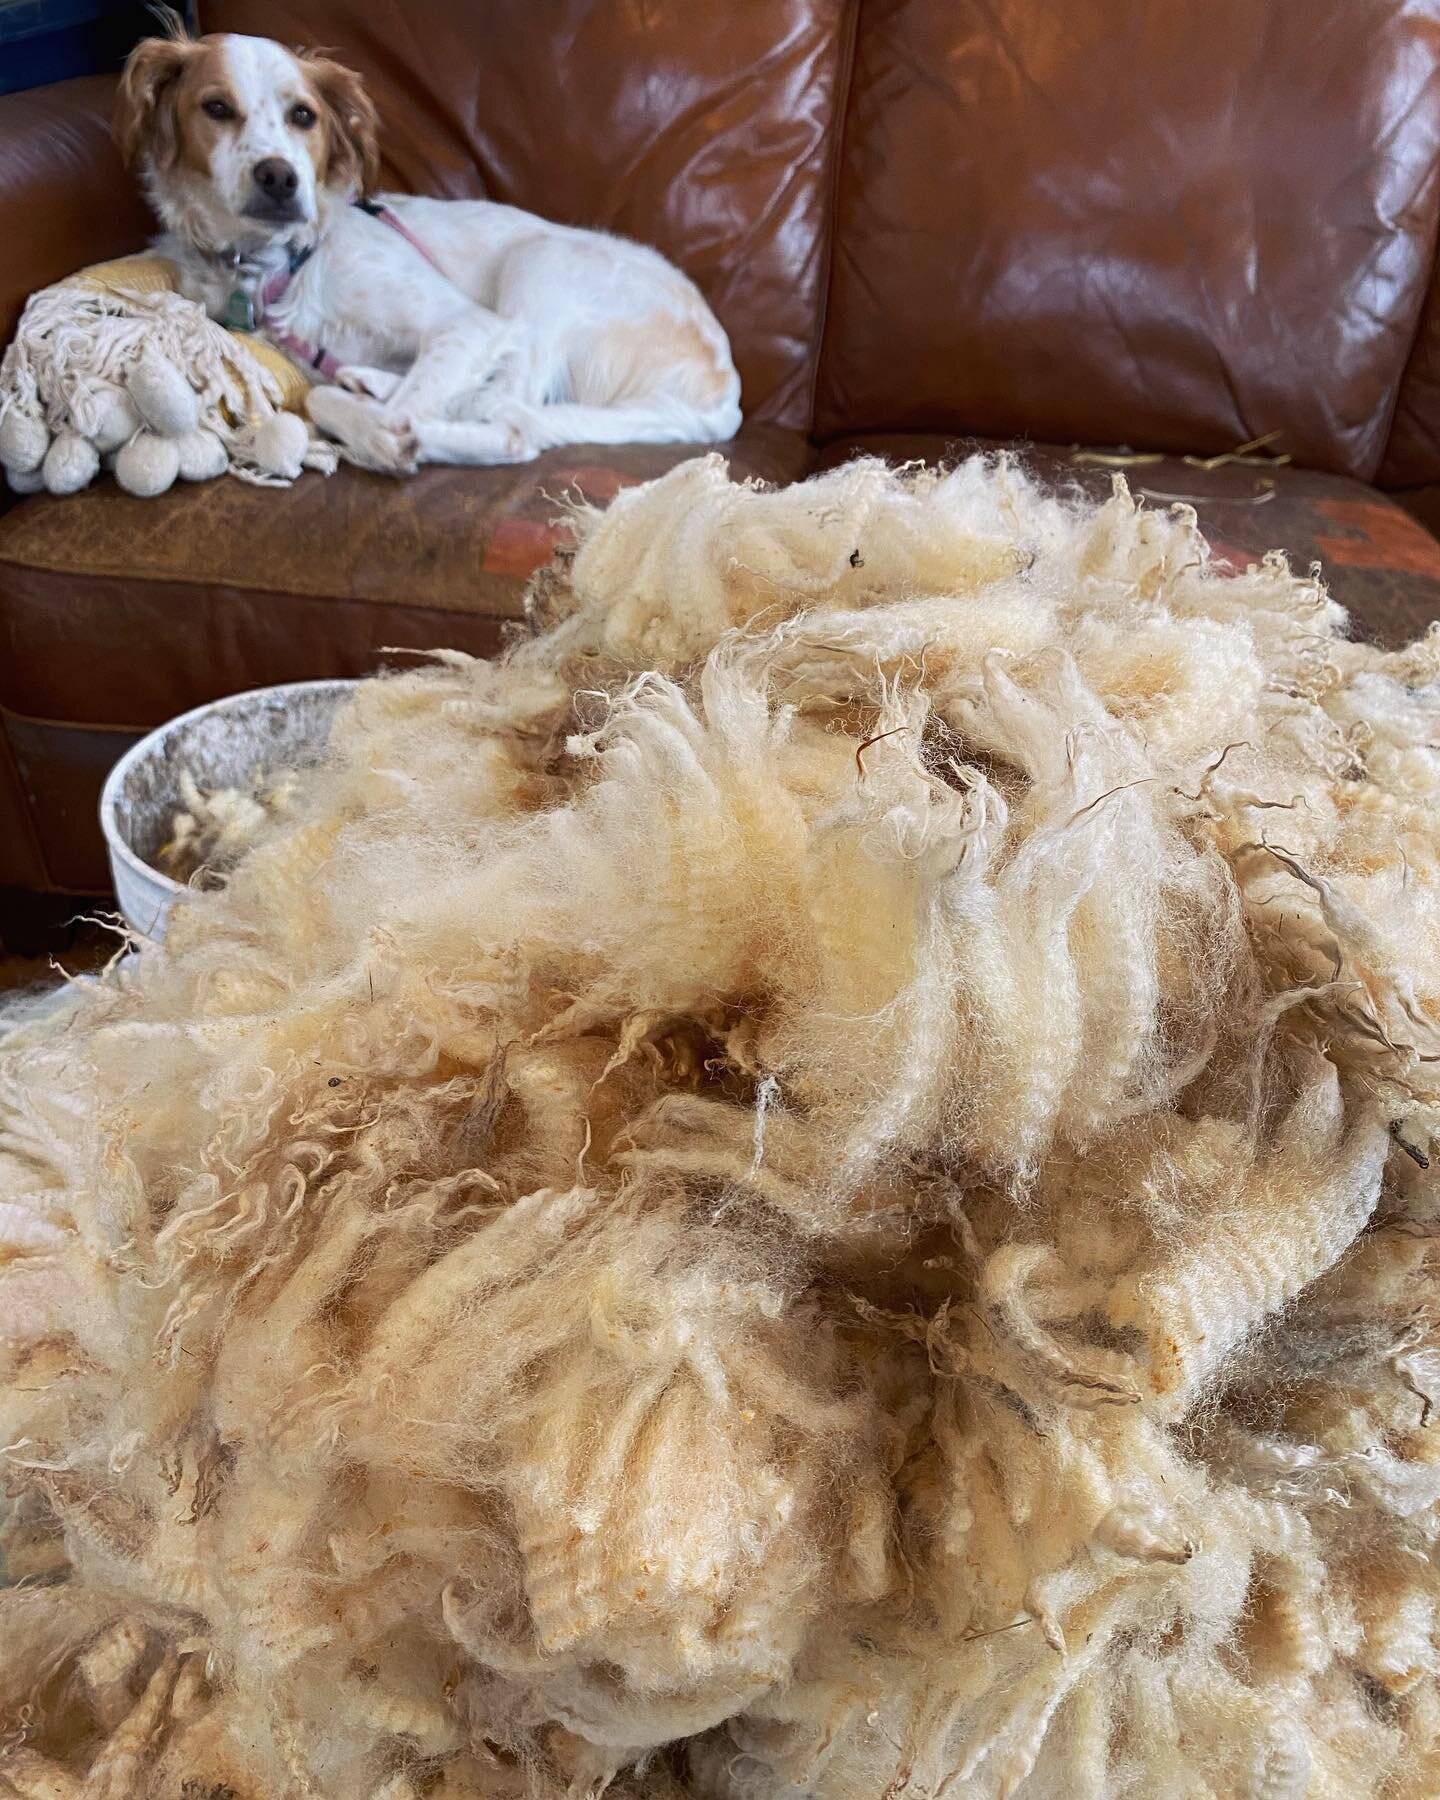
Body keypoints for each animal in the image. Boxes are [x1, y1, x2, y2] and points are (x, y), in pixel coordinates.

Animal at [115, 34, 741, 475]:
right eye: (216, 108)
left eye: (303, 115)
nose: (279, 178)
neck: (282, 264)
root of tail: (724, 390)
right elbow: (322, 393)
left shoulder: (470, 324)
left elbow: (397, 408)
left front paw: (383, 435)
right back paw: (369, 381)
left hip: (541, 263)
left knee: (514, 420)